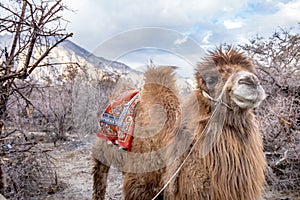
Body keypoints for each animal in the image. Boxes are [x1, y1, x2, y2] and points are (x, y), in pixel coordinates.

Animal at [92, 46, 268, 199]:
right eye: (211, 79)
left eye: (252, 72)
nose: (251, 81)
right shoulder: (140, 184)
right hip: (101, 149)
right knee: (99, 178)